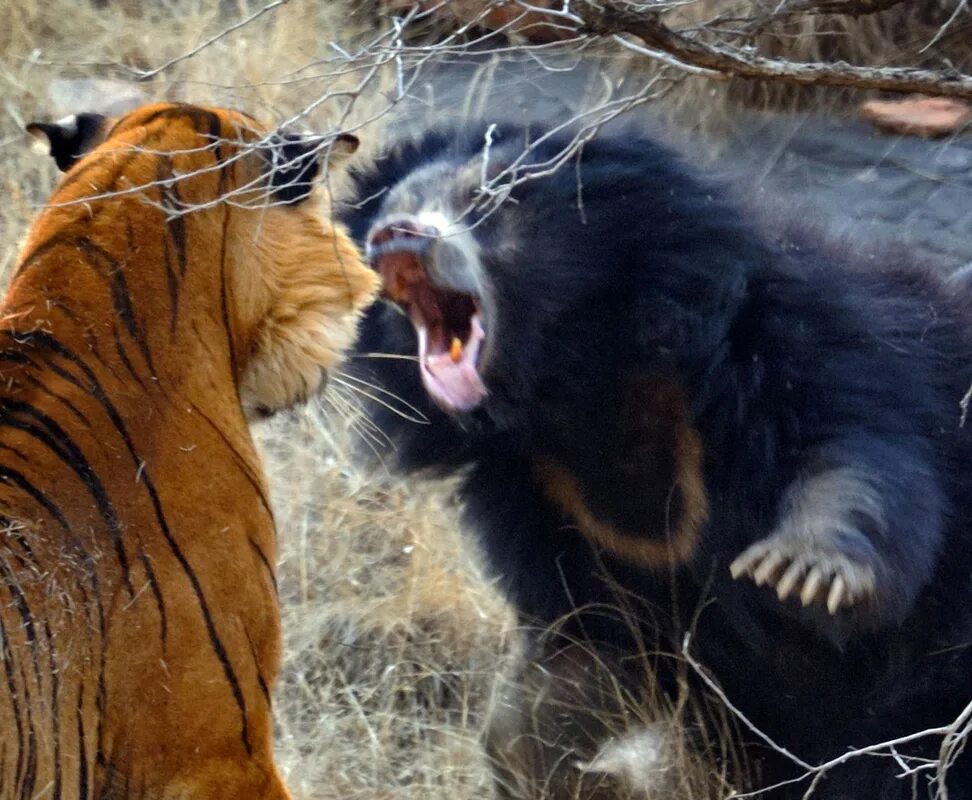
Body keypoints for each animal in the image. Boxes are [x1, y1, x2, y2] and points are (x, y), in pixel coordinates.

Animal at [340, 120, 972, 800]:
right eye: (394, 208)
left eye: (487, 200)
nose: (394, 238)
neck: (580, 384)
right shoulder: (542, 500)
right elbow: (585, 649)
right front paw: (575, 774)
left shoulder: (806, 340)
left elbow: (856, 458)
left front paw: (801, 570)